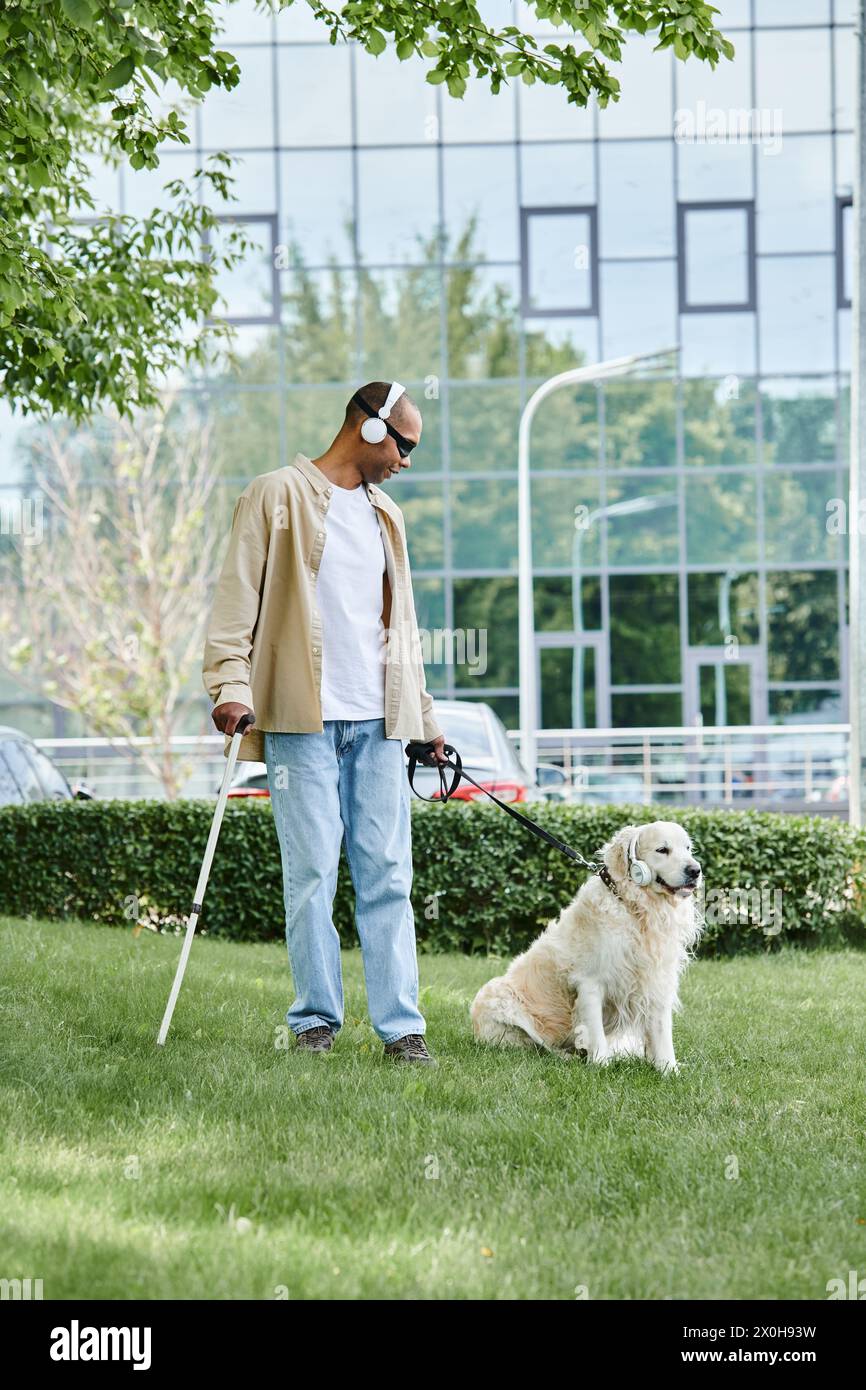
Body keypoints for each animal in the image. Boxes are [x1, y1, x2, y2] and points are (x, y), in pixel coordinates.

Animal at [469, 822, 700, 1073]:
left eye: (688, 848)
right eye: (662, 850)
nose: (695, 870)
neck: (635, 908)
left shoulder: (657, 980)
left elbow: (661, 1031)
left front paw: (669, 1069)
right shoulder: (590, 983)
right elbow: (595, 1031)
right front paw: (600, 1065)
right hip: (497, 997)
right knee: (536, 1045)